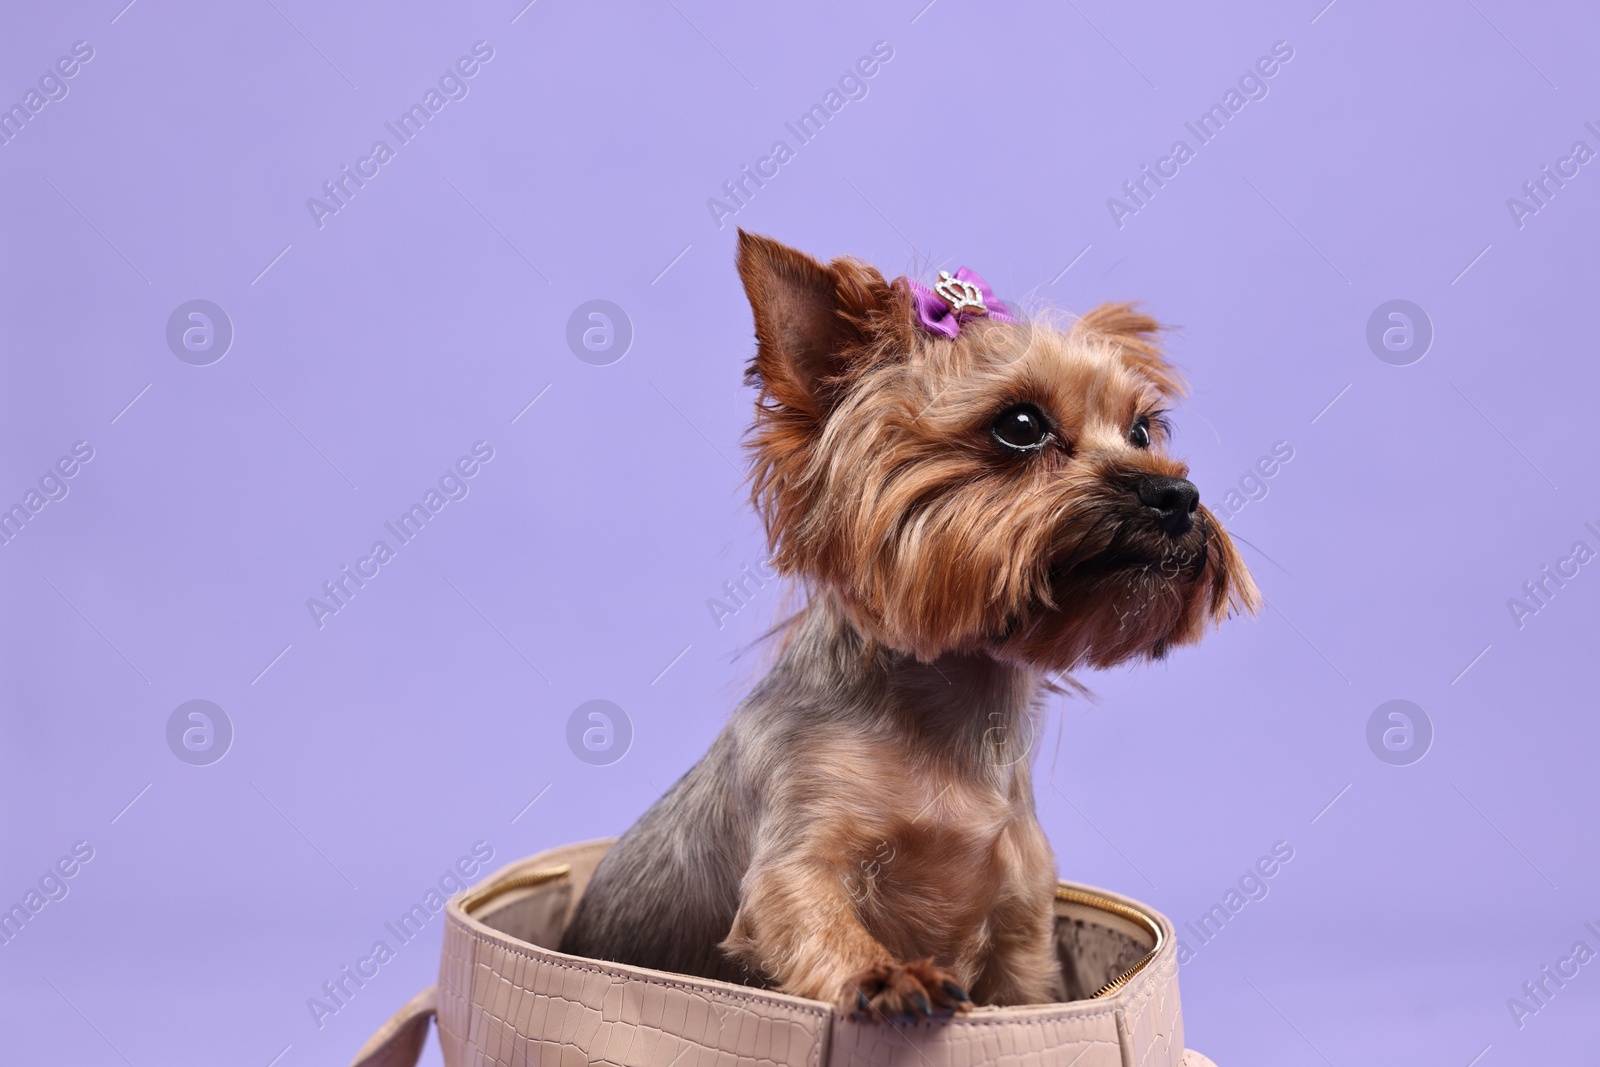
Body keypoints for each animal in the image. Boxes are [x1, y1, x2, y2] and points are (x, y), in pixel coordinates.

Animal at [556, 235, 1254, 1023]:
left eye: (1142, 430)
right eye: (1020, 427)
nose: (1176, 493)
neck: (952, 712)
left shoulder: (1022, 924)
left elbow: (1021, 989)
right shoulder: (795, 852)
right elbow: (808, 911)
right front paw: (887, 974)